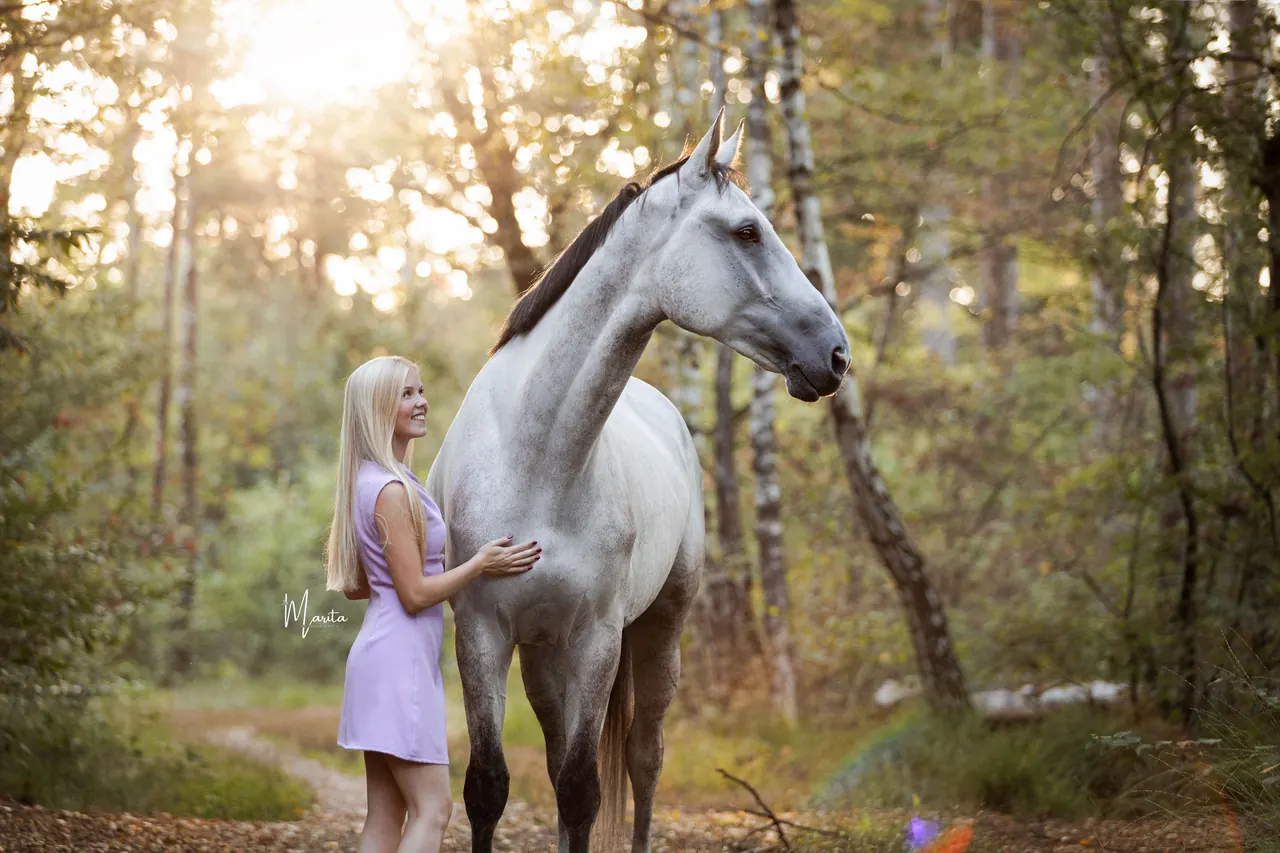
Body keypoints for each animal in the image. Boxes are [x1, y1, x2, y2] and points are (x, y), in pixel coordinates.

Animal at [425, 110, 850, 853]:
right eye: (747, 231)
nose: (835, 354)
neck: (537, 461)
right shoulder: (482, 632)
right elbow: (490, 785)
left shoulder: (597, 640)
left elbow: (581, 787)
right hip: (543, 657)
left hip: (659, 630)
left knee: (644, 757)